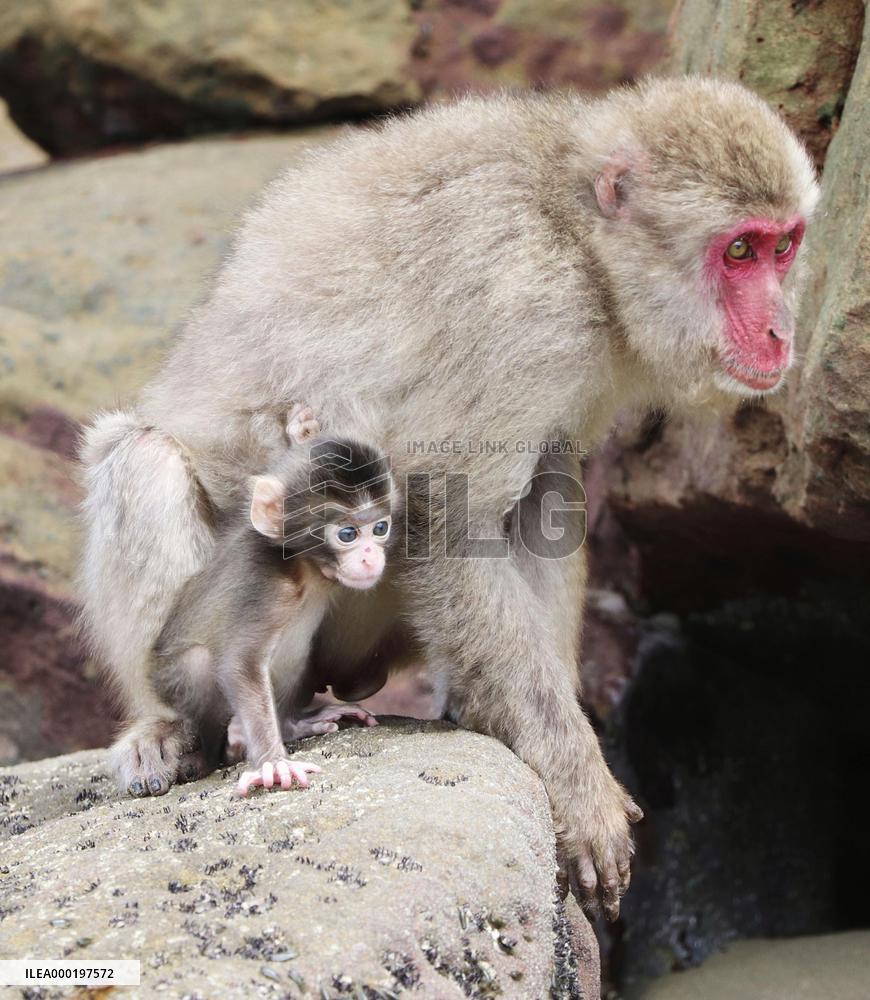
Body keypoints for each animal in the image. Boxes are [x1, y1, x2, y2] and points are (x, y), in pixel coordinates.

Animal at [147, 427, 396, 797]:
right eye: (348, 534)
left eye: (380, 528)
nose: (370, 557)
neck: (303, 569)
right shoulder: (265, 586)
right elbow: (241, 664)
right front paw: (273, 763)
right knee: (199, 663)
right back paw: (226, 747)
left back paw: (291, 726)